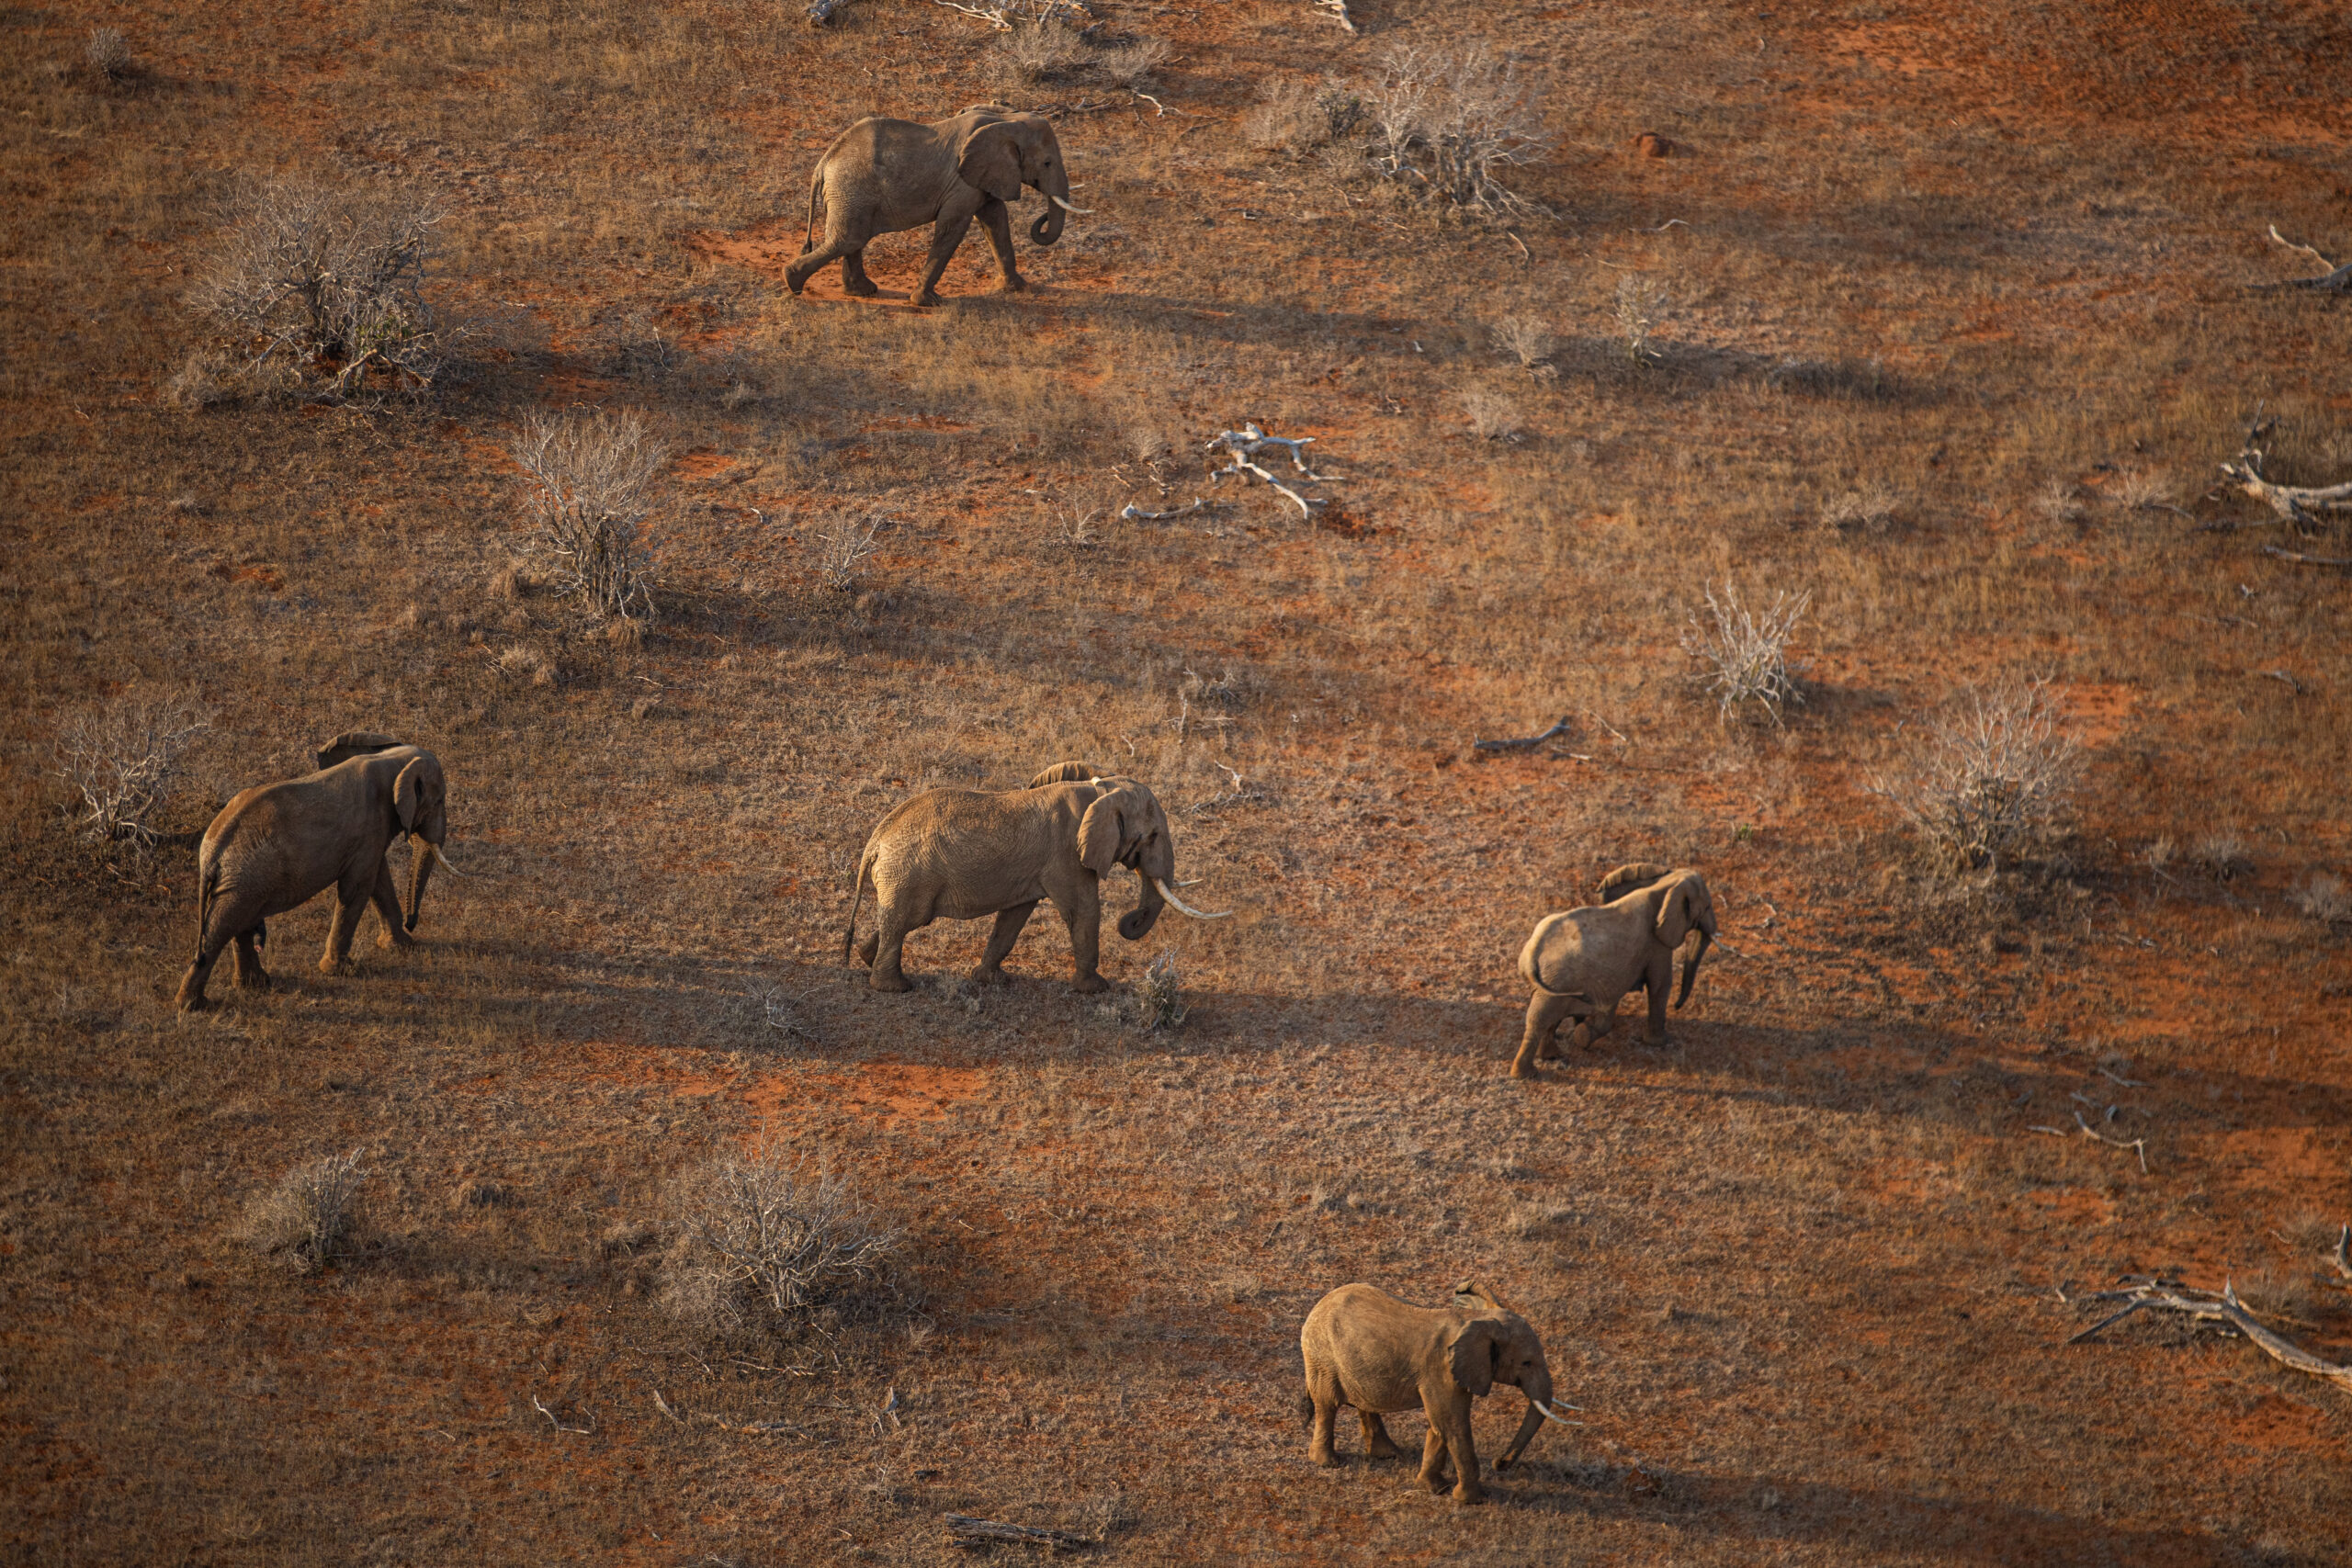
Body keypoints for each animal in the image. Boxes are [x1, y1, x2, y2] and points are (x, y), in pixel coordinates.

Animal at [174, 732, 462, 1011]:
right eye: (440, 800)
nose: (411, 923)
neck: (391, 758)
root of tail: (211, 853)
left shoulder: (370, 836)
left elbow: (378, 880)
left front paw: (401, 946)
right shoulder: (369, 828)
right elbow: (358, 886)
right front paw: (341, 971)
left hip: (243, 880)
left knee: (238, 922)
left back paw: (254, 986)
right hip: (244, 877)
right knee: (223, 926)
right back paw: (194, 1006)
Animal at [784, 105, 1085, 309]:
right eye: (1047, 163)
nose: (1042, 218)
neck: (1006, 120)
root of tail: (823, 163)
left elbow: (996, 220)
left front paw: (1018, 288)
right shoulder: (961, 182)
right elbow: (953, 227)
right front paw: (928, 302)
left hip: (850, 194)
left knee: (851, 239)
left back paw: (862, 292)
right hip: (850, 189)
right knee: (849, 239)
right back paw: (792, 283)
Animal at [841, 761, 1224, 995]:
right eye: (1154, 836)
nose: (1129, 920)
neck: (1101, 789)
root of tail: (875, 841)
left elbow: (1014, 917)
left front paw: (992, 980)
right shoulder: (1066, 855)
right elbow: (1084, 910)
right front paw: (1096, 989)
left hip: (904, 876)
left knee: (901, 920)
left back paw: (865, 957)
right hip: (909, 872)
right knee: (908, 920)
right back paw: (896, 988)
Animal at [1299, 1281, 1574, 1504]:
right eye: (1527, 1363)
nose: (1499, 1464)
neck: (1477, 1317)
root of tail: (1318, 1305)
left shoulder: (1458, 1371)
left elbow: (1440, 1425)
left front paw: (1435, 1489)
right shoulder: (1441, 1369)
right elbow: (1453, 1425)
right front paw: (1473, 1500)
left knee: (1364, 1404)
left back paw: (1389, 1455)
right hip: (1322, 1355)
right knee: (1327, 1405)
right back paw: (1327, 1463)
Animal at [1510, 863, 1716, 1079]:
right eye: (1707, 907)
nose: (1677, 1006)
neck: (1664, 884)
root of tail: (1533, 951)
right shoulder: (1656, 944)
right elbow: (1660, 985)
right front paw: (1659, 1043)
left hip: (1554, 982)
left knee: (1545, 1017)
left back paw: (1549, 1057)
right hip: (1558, 979)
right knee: (1540, 1019)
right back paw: (1528, 1073)